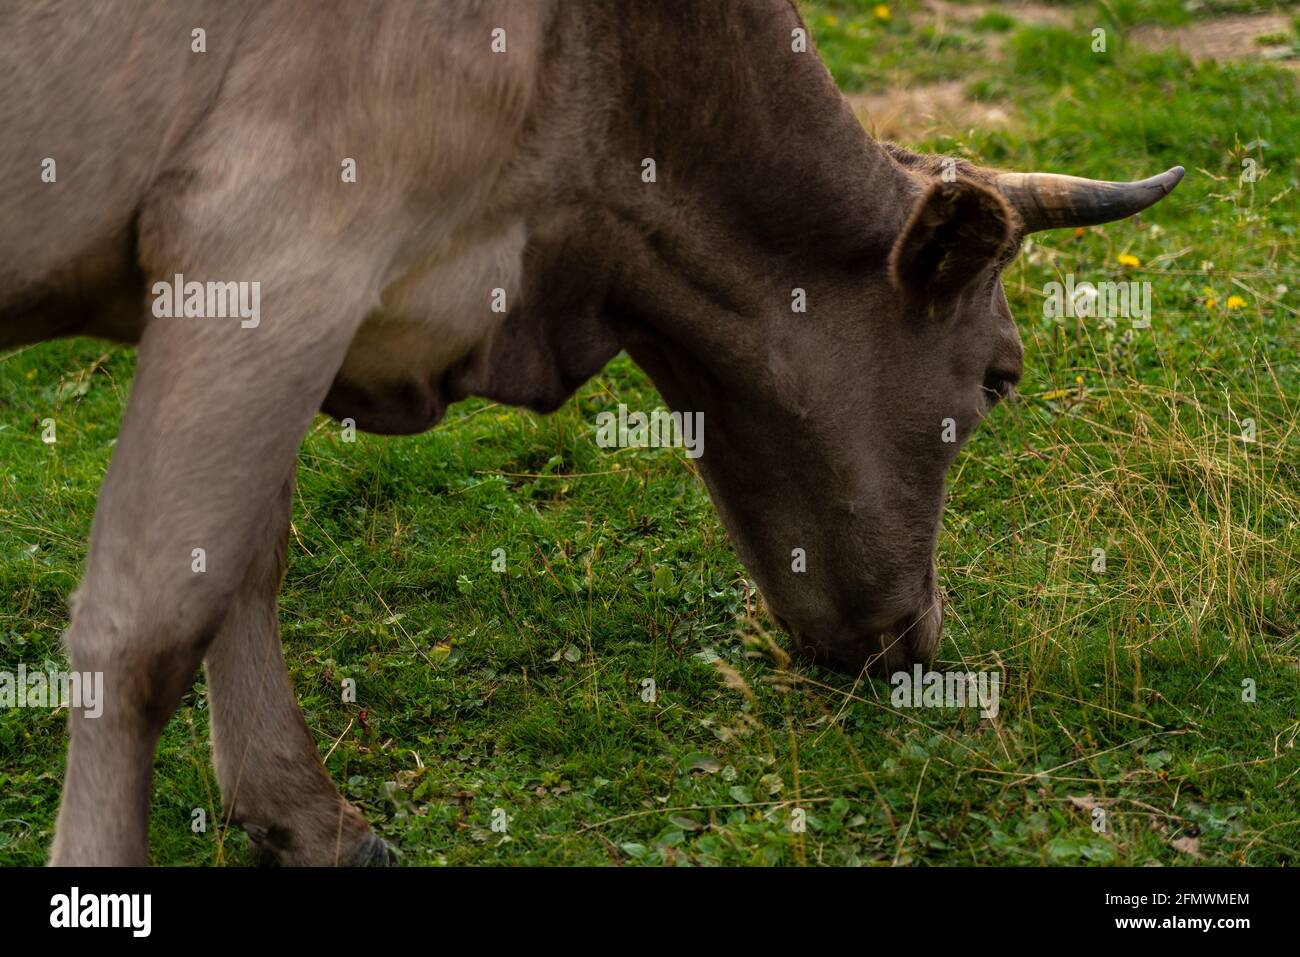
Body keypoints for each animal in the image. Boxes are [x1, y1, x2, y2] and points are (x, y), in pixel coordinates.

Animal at [0, 0, 1183, 866]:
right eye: (999, 380)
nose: (921, 637)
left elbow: (249, 554)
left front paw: (301, 814)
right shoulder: (275, 245)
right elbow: (147, 627)